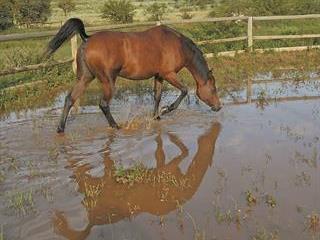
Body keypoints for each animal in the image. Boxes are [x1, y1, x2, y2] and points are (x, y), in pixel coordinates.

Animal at [45, 18, 221, 133]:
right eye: (213, 89)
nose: (219, 107)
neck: (177, 45)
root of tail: (87, 40)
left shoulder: (159, 76)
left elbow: (157, 96)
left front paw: (156, 117)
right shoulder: (168, 74)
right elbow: (184, 90)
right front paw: (166, 110)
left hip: (85, 78)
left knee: (70, 99)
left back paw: (60, 129)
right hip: (108, 81)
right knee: (103, 104)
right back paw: (116, 126)